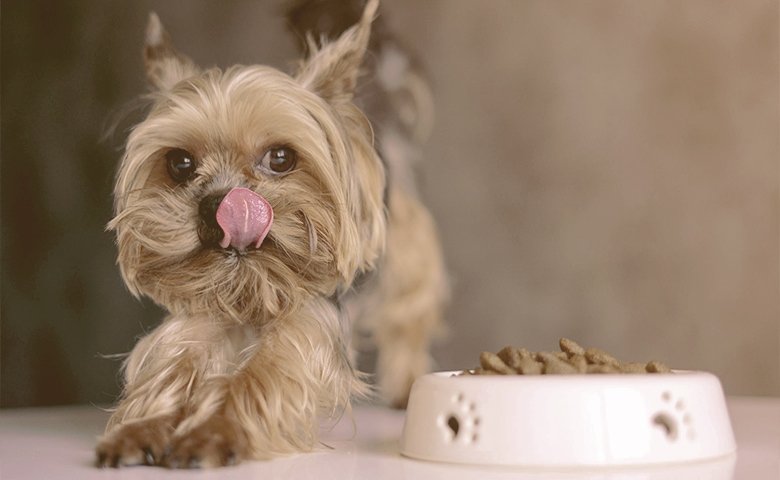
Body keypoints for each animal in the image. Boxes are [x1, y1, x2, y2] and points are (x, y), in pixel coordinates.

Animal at [96, 0, 448, 466]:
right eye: (179, 163)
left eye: (281, 158)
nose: (220, 205)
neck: (251, 286)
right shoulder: (200, 315)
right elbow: (172, 362)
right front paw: (140, 429)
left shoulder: (311, 323)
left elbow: (265, 372)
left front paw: (214, 432)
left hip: (405, 240)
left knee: (410, 306)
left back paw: (406, 383)